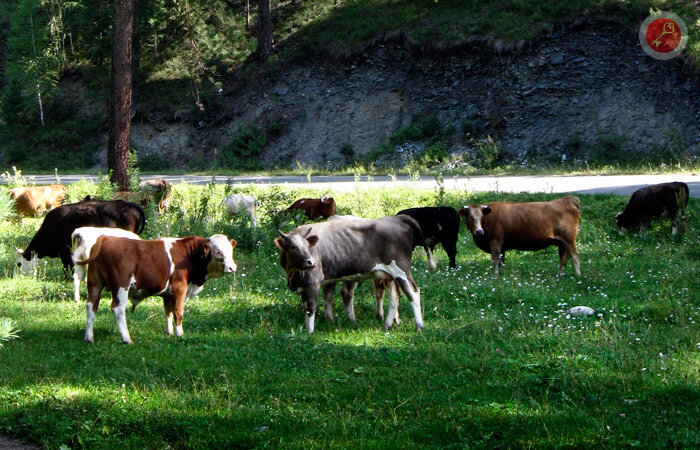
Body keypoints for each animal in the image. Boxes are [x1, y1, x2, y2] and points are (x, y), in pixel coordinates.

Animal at [78, 234, 238, 342]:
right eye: (218, 252)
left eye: (231, 251)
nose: (232, 268)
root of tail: (105, 238)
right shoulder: (180, 288)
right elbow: (178, 312)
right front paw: (180, 334)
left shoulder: (168, 294)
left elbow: (168, 312)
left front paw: (169, 332)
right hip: (121, 285)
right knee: (118, 309)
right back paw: (126, 338)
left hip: (94, 284)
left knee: (91, 306)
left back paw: (89, 337)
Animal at [274, 214, 434, 334]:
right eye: (292, 247)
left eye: (308, 246)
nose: (311, 262)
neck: (294, 275)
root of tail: (397, 218)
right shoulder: (304, 286)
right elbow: (306, 306)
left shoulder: (313, 281)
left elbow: (311, 307)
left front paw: (310, 331)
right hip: (388, 274)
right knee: (394, 297)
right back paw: (387, 325)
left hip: (401, 270)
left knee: (413, 292)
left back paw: (419, 326)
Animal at [456, 197, 584, 278]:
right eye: (471, 217)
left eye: (481, 217)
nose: (479, 231)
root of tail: (567, 200)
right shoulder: (502, 246)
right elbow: (502, 261)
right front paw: (502, 276)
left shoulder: (495, 242)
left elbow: (495, 260)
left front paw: (495, 277)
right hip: (561, 242)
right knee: (564, 258)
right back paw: (559, 276)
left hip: (568, 239)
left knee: (574, 255)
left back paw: (577, 275)